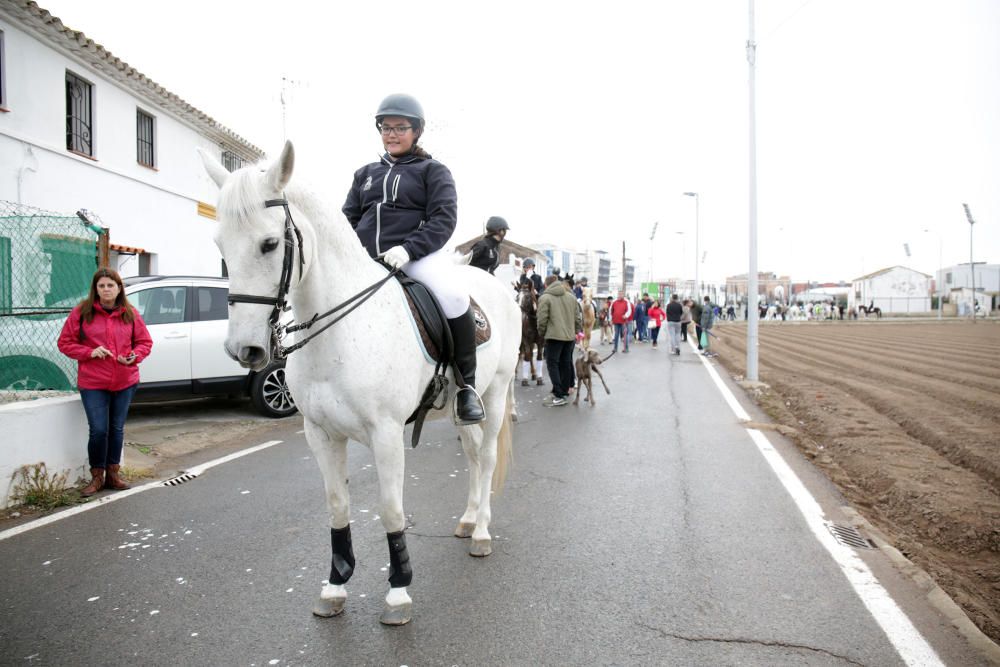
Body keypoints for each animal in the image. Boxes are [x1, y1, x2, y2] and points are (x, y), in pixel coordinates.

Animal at [199, 141, 520, 628]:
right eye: (219, 245)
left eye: (269, 244)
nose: (245, 350)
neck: (337, 330)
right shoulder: (320, 433)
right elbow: (338, 505)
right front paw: (335, 585)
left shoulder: (385, 434)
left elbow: (390, 509)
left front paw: (398, 592)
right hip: (460, 408)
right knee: (471, 454)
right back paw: (467, 521)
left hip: (496, 394)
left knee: (485, 458)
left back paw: (481, 530)